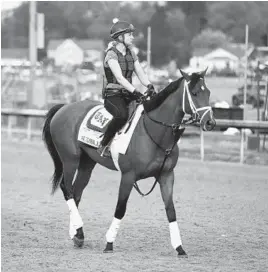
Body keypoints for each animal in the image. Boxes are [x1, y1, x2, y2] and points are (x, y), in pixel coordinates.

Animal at [43, 69, 217, 256]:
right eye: (194, 93)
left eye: (208, 92)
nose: (210, 122)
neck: (153, 132)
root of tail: (64, 107)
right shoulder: (128, 176)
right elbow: (120, 208)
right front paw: (109, 243)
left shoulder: (166, 175)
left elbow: (171, 210)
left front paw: (179, 247)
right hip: (70, 160)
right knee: (66, 189)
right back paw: (78, 230)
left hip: (87, 163)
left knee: (76, 193)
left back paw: (77, 234)